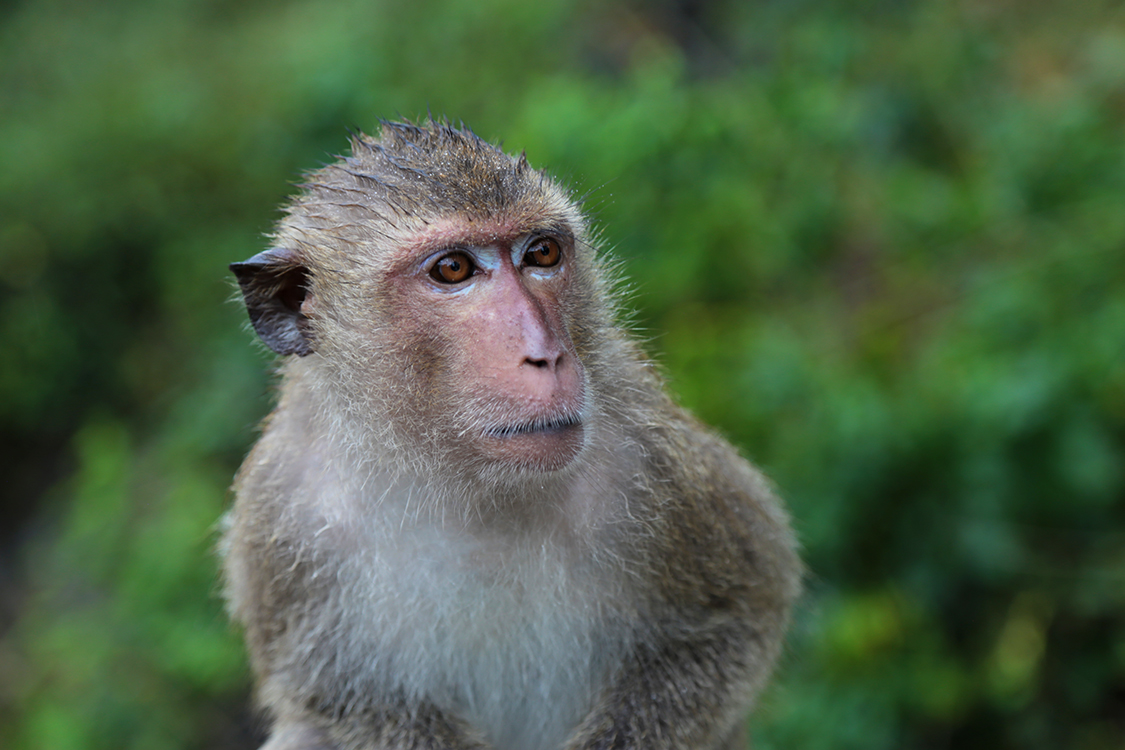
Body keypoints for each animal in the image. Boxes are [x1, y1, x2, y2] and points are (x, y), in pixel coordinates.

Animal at [221, 120, 801, 750]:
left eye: (541, 253)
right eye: (452, 269)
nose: (544, 354)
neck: (459, 481)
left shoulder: (653, 459)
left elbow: (742, 613)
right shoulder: (283, 519)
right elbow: (330, 694)